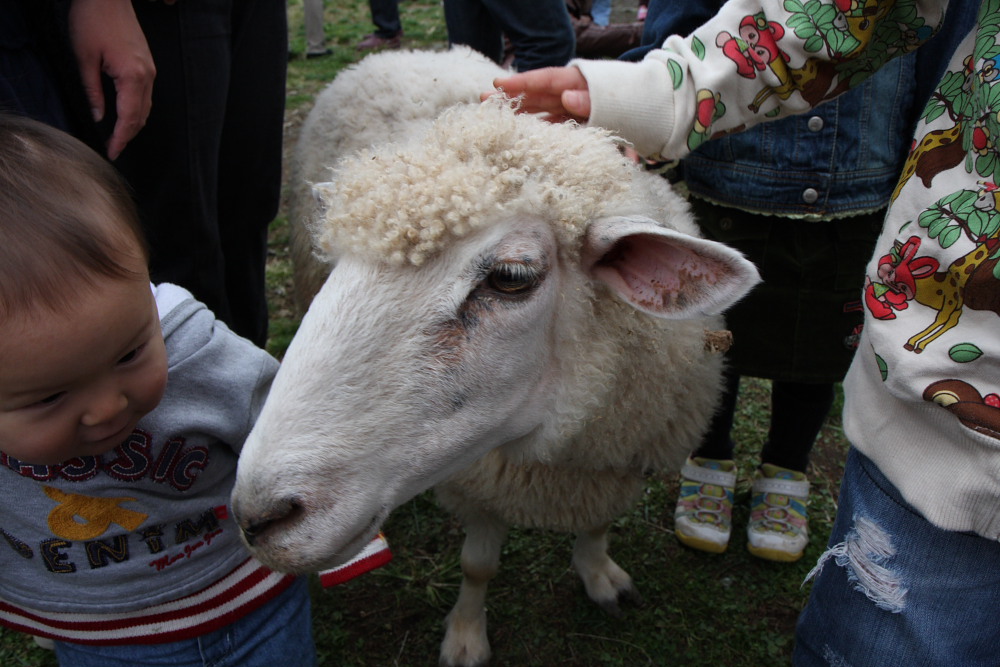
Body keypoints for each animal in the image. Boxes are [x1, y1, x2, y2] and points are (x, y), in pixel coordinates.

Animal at [230, 48, 756, 667]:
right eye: (338, 264)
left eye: (510, 277)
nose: (259, 517)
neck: (556, 458)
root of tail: (407, 52)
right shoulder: (478, 479)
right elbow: (477, 565)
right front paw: (466, 636)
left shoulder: (614, 459)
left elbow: (598, 526)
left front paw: (600, 573)